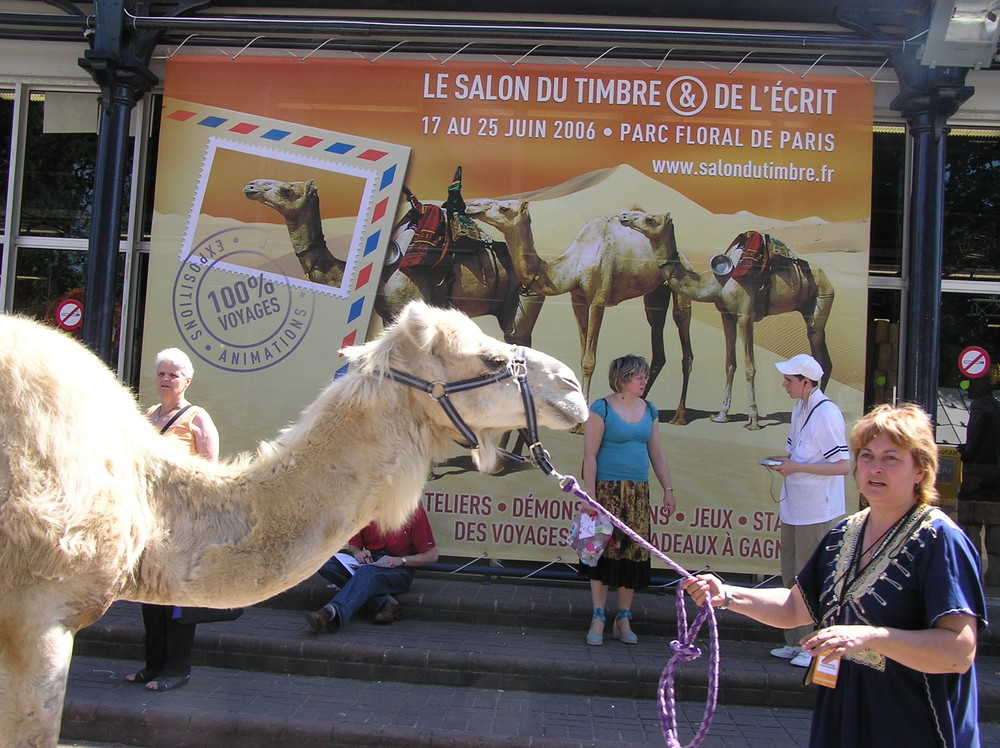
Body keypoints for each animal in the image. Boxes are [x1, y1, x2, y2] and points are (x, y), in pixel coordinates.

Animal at [462, 197, 692, 420]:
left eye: (504, 208)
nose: (472, 205)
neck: (575, 264)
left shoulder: (598, 299)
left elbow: (589, 360)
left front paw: (583, 422)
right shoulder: (577, 299)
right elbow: (582, 356)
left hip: (680, 279)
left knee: (682, 330)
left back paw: (679, 415)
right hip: (656, 291)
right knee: (656, 327)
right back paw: (643, 401)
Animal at [616, 210, 836, 432]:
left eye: (650, 218)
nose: (624, 216)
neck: (717, 282)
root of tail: (826, 277)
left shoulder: (745, 315)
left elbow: (749, 366)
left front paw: (753, 420)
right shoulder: (726, 315)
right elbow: (730, 363)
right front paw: (721, 415)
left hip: (822, 300)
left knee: (819, 352)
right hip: (808, 307)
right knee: (822, 360)